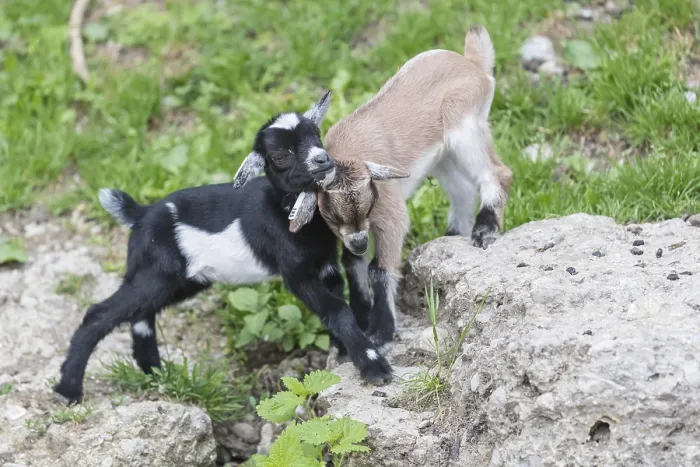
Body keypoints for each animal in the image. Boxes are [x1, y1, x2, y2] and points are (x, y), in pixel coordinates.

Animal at [54, 93, 392, 405]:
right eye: (280, 155)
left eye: (316, 136)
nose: (323, 160)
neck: (284, 209)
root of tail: (140, 215)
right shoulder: (297, 273)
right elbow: (337, 309)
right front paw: (372, 364)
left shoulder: (326, 265)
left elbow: (337, 304)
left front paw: (342, 351)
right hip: (155, 272)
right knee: (101, 313)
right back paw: (69, 388)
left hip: (180, 280)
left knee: (141, 313)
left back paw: (154, 371)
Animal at [235, 25, 512, 351]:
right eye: (279, 156)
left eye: (314, 136)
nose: (360, 243)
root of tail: (472, 62)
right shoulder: (350, 233)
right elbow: (352, 264)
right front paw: (363, 318)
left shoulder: (389, 217)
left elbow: (378, 269)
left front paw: (381, 331)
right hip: (443, 156)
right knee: (463, 190)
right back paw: (453, 235)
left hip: (465, 130)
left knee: (497, 172)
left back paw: (486, 229)